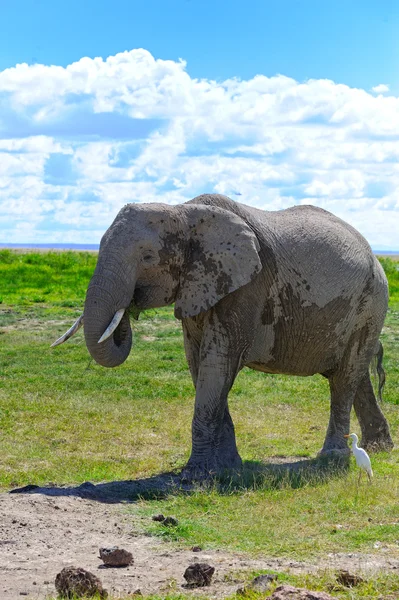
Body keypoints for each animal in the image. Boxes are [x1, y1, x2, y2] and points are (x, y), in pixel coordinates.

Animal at [52, 195, 394, 476]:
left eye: (147, 257)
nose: (129, 309)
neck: (183, 212)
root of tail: (375, 255)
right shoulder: (201, 285)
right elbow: (198, 365)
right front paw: (229, 466)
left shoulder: (246, 287)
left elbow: (217, 365)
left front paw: (196, 476)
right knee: (356, 375)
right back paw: (379, 449)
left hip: (371, 302)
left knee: (344, 379)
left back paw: (333, 459)